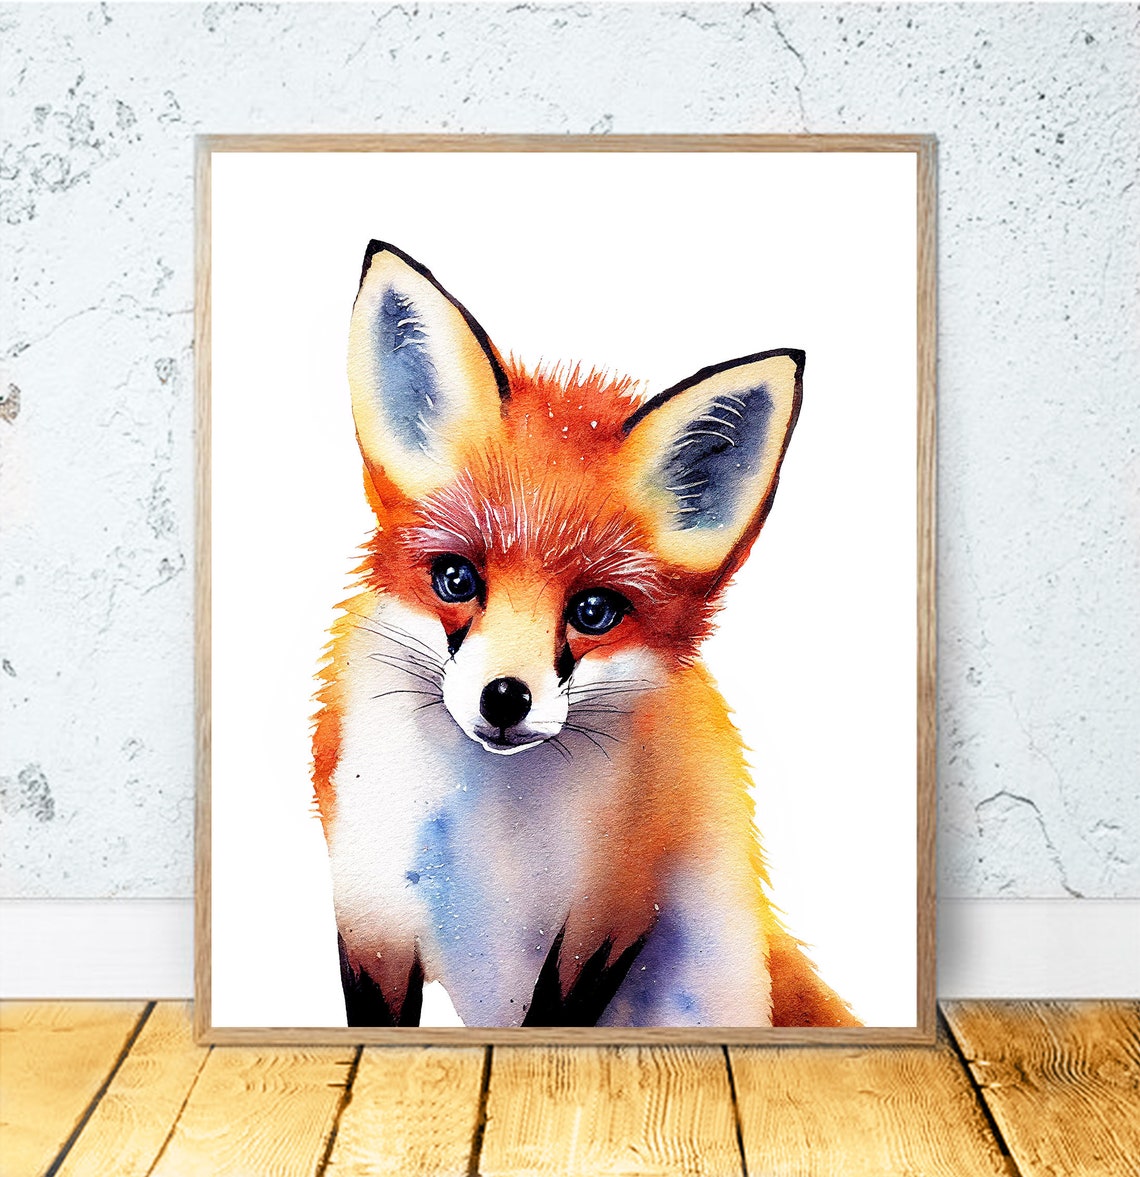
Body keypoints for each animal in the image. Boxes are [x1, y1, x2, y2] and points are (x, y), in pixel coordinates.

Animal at [312, 241, 860, 1029]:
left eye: (594, 611)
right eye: (456, 579)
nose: (504, 698)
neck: (490, 844)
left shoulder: (606, 916)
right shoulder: (369, 908)